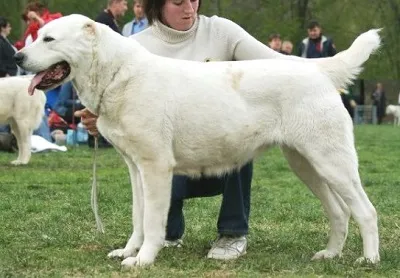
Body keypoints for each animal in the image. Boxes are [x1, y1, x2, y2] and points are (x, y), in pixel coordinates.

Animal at [14, 15, 382, 268]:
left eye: (49, 39)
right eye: (38, 37)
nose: (17, 57)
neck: (117, 75)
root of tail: (316, 70)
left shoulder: (156, 168)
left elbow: (152, 220)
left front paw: (143, 260)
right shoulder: (135, 169)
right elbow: (138, 217)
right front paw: (129, 250)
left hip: (332, 163)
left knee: (365, 211)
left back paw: (368, 260)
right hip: (306, 164)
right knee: (339, 211)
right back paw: (330, 254)